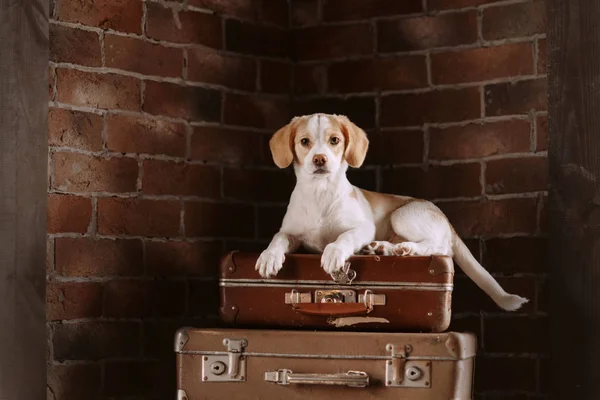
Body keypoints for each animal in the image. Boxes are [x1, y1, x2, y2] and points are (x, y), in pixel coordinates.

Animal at [255, 112, 528, 312]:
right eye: (304, 142)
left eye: (334, 140)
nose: (320, 159)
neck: (320, 193)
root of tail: (445, 218)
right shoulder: (291, 232)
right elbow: (278, 239)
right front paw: (268, 257)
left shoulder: (363, 228)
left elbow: (343, 237)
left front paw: (333, 253)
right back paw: (383, 249)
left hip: (403, 216)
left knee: (441, 247)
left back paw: (407, 249)